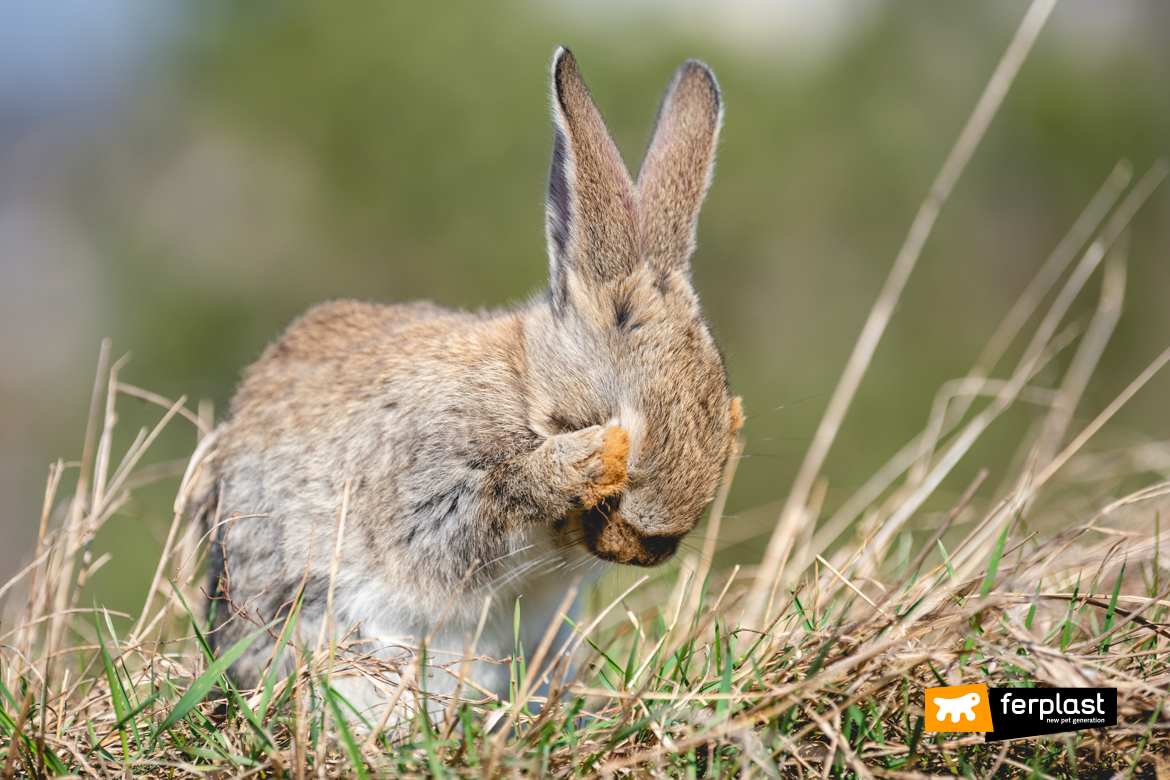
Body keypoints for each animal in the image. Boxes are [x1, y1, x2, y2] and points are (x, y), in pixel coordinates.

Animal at [191, 48, 739, 720]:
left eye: (726, 416)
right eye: (613, 418)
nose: (648, 549)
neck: (525, 389)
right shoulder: (429, 479)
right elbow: (470, 512)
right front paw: (581, 463)